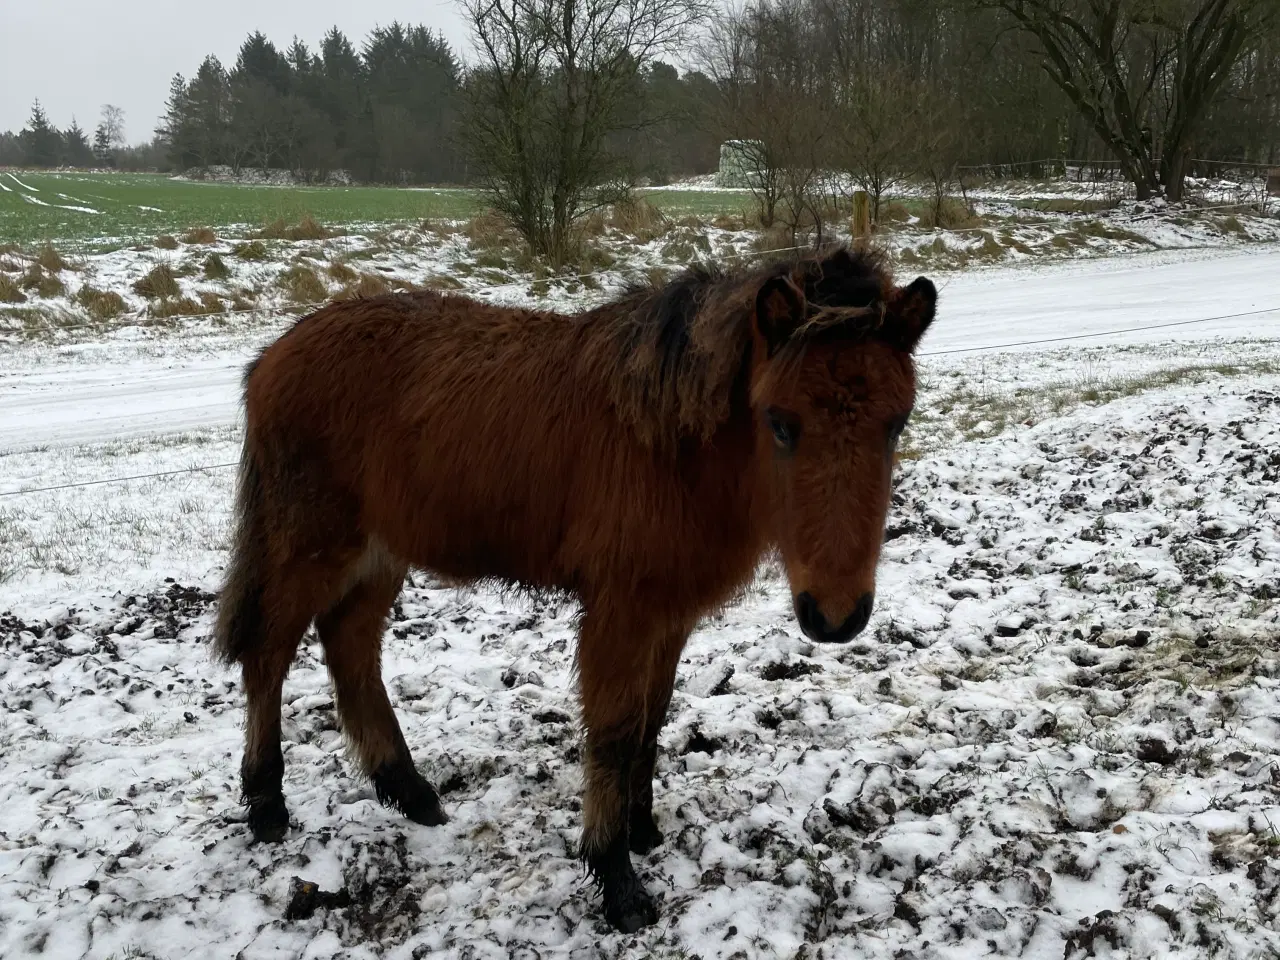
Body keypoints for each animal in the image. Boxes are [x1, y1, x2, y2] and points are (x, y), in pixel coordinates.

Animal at [217, 245, 942, 931]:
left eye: (897, 422)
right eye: (781, 422)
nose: (835, 615)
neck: (673, 448)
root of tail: (273, 356)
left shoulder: (669, 612)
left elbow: (651, 721)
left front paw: (642, 830)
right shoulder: (621, 611)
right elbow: (614, 733)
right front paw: (616, 880)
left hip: (378, 552)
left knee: (350, 647)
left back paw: (410, 791)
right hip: (310, 545)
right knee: (268, 655)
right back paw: (267, 804)